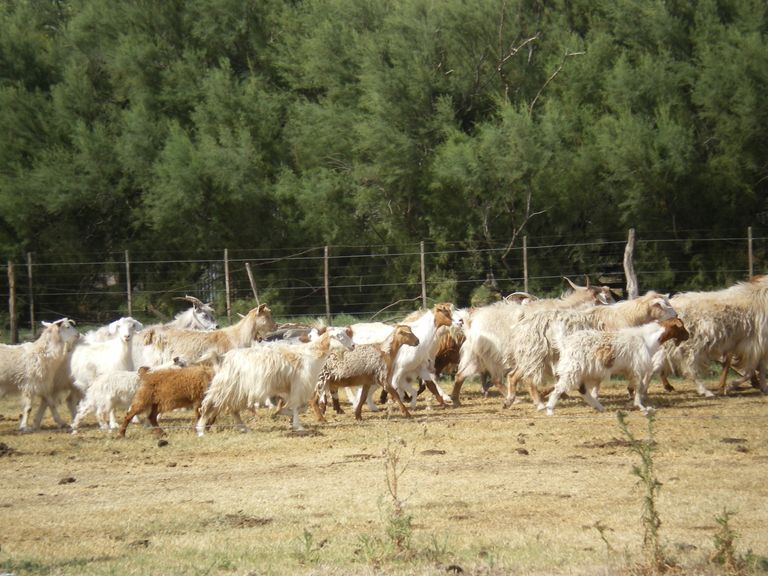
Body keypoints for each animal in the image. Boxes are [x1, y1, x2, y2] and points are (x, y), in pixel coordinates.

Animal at [196, 326, 356, 434]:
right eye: (339, 336)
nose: (353, 346)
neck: (309, 354)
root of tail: (221, 358)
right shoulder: (299, 386)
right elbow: (296, 406)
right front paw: (297, 424)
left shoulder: (287, 389)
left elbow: (296, 407)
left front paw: (282, 414)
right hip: (225, 387)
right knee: (207, 405)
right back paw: (201, 430)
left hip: (236, 391)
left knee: (232, 409)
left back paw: (244, 428)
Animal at [544, 318, 688, 416]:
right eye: (681, 327)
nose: (688, 335)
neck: (647, 339)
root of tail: (565, 342)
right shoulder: (637, 369)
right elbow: (639, 386)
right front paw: (642, 407)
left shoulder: (631, 370)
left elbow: (635, 386)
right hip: (573, 370)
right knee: (559, 388)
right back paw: (550, 410)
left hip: (579, 371)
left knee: (582, 390)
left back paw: (599, 407)